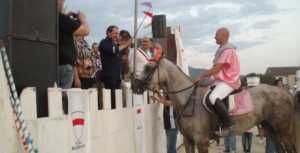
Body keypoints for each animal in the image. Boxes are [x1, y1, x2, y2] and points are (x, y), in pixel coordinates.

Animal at [134, 57, 298, 153]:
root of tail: (285, 93)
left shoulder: (201, 141)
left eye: (149, 68)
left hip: (283, 130)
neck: (188, 99)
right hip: (271, 129)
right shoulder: (188, 141)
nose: (135, 85)